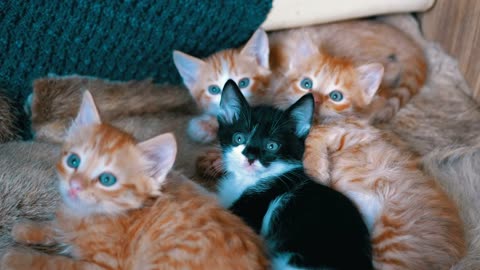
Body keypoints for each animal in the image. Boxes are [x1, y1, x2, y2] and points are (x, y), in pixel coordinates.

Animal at [0, 91, 270, 270]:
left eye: (107, 179)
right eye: (74, 161)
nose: (75, 186)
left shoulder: (102, 266)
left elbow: (55, 263)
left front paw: (15, 256)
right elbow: (58, 226)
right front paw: (29, 228)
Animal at [300, 56, 464, 268]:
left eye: (336, 96)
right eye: (307, 84)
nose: (316, 99)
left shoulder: (355, 131)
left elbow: (316, 133)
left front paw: (316, 170)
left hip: (394, 241)